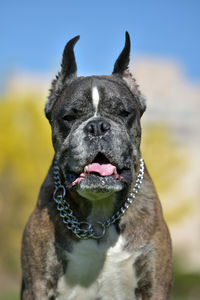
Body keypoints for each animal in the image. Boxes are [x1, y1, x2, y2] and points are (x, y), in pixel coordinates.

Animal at [20, 31, 173, 298]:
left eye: (124, 113)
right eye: (69, 117)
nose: (97, 126)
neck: (99, 215)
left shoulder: (154, 284)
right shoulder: (38, 284)